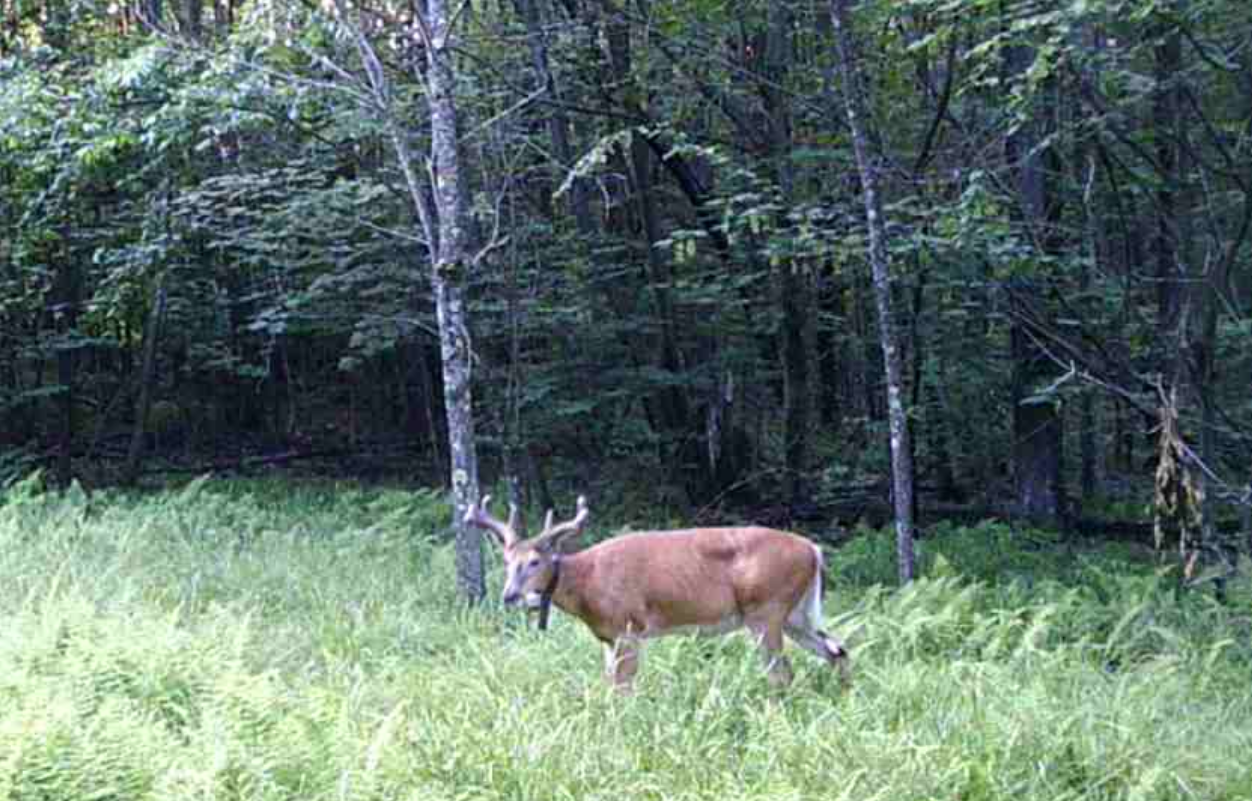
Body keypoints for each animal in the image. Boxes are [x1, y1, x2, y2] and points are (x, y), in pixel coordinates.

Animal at [465, 495, 856, 690]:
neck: (587, 583)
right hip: (796, 614)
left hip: (766, 609)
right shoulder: (607, 637)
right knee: (837, 650)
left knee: (782, 672)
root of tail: (813, 550)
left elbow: (622, 687)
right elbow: (608, 683)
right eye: (506, 560)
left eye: (534, 561)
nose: (509, 595)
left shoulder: (627, 627)